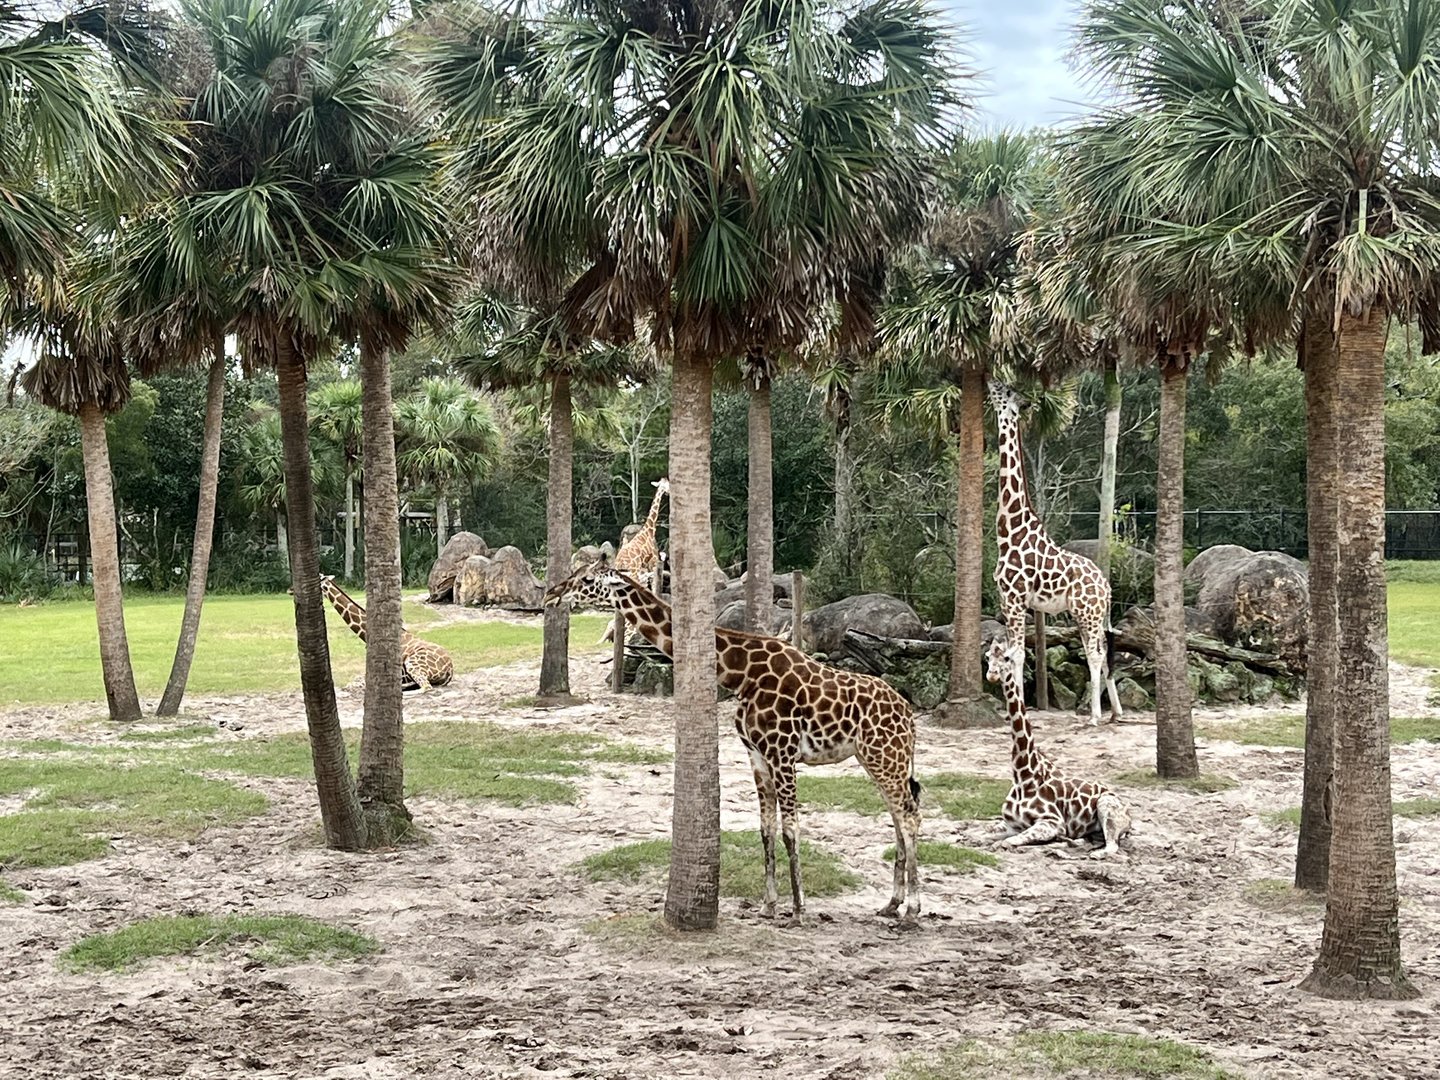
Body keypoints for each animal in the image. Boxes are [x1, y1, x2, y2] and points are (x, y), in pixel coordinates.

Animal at [547, 560, 922, 924]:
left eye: (588, 579)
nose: (553, 593)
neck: (740, 674)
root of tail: (908, 713)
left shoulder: (782, 753)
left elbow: (790, 829)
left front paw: (799, 910)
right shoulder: (756, 754)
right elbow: (766, 828)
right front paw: (769, 906)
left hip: (885, 756)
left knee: (909, 815)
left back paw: (912, 909)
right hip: (875, 758)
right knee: (899, 813)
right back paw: (892, 903)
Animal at [984, 638, 1132, 856]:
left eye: (1006, 657)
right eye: (987, 656)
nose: (992, 674)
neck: (1022, 776)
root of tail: (1128, 814)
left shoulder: (1052, 821)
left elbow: (1008, 842)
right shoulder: (1010, 824)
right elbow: (985, 832)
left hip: (1106, 805)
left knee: (1110, 846)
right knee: (1089, 840)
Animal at [989, 379, 1122, 725]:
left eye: (1006, 392)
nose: (991, 381)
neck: (1009, 531)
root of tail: (1106, 587)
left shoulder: (1014, 598)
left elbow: (1016, 654)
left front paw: (1019, 711)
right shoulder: (1007, 599)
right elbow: (1016, 653)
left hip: (1087, 612)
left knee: (1094, 654)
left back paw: (1095, 715)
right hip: (1089, 614)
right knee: (1103, 651)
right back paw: (1116, 711)